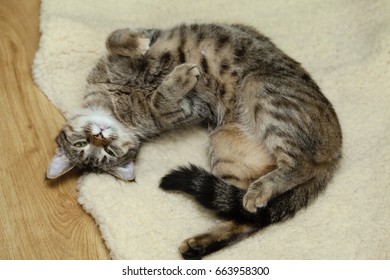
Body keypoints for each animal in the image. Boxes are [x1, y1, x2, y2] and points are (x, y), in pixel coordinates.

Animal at [47, 23, 342, 260]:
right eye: (88, 149)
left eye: (103, 150)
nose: (98, 136)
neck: (114, 103)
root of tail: (335, 154)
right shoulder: (186, 110)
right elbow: (160, 99)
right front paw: (178, 78)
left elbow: (115, 37)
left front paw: (139, 45)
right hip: (227, 144)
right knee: (251, 214)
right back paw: (204, 240)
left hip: (261, 88)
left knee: (300, 164)